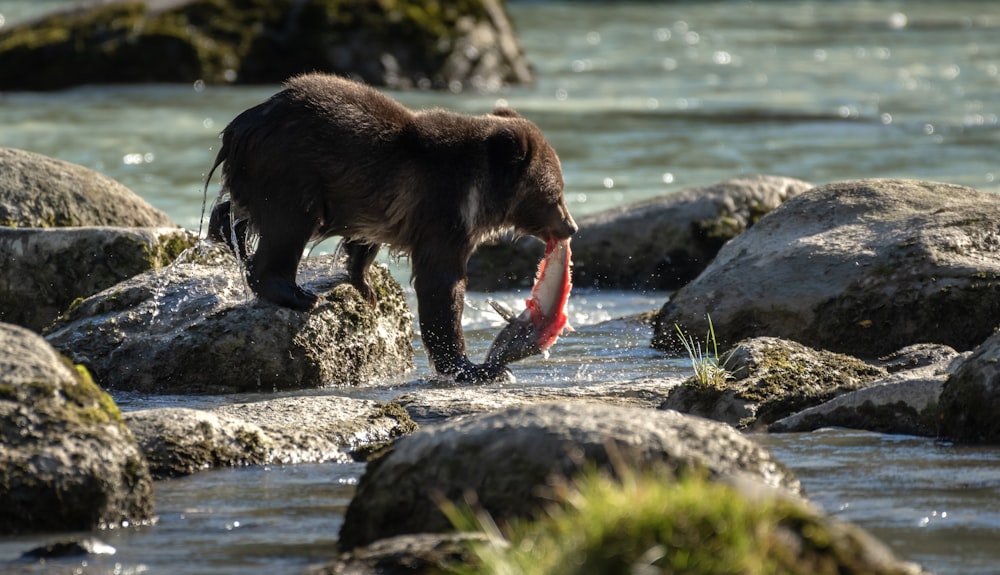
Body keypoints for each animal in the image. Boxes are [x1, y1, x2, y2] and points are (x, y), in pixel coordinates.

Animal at [203, 74, 576, 384]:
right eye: (555, 193)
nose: (570, 227)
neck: (478, 193)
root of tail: (240, 125)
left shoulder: (380, 207)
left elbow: (364, 243)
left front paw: (366, 287)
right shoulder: (442, 212)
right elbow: (441, 284)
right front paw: (472, 367)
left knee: (238, 211)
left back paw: (226, 234)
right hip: (290, 168)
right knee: (287, 226)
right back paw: (297, 294)